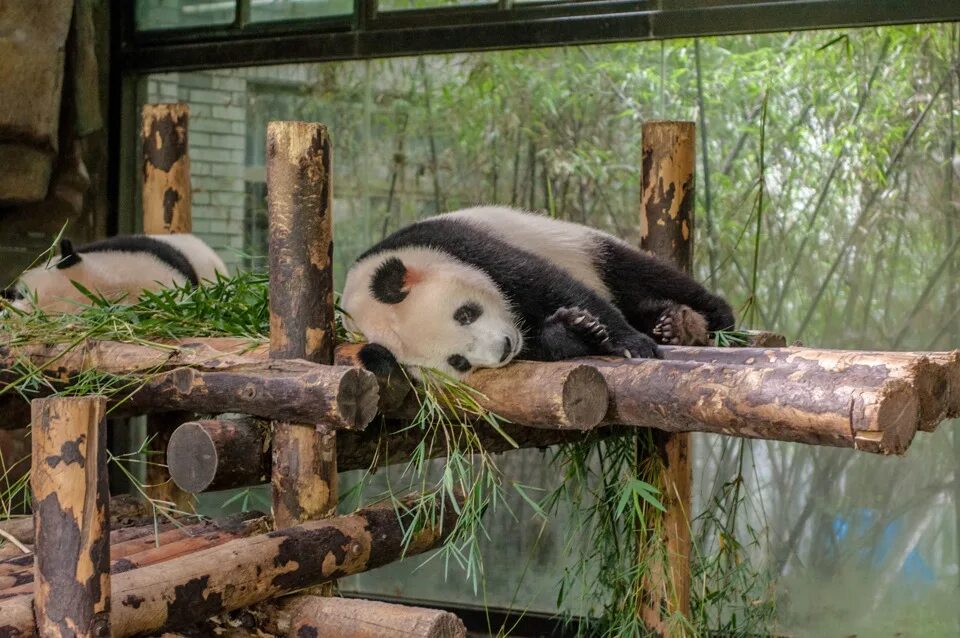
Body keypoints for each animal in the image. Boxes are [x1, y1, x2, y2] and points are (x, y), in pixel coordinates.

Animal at [344, 206, 736, 380]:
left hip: (585, 246)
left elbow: (545, 281)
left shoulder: (455, 244)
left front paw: (629, 342)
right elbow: (543, 345)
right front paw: (576, 329)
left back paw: (705, 322)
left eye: (465, 314)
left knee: (638, 274)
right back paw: (669, 324)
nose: (504, 347)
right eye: (458, 362)